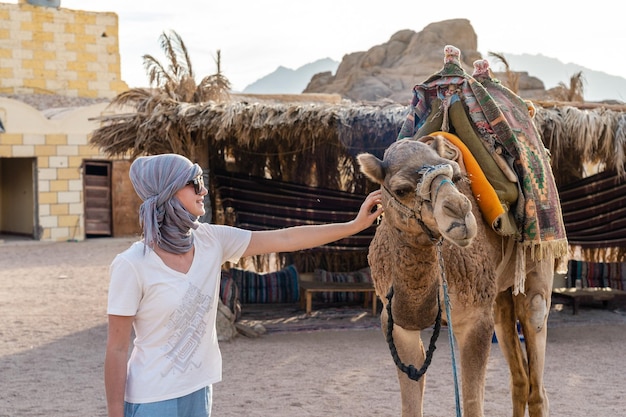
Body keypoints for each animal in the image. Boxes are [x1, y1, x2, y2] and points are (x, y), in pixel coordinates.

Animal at [356, 134, 556, 416]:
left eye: (454, 175)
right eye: (401, 189)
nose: (460, 211)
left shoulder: (475, 320)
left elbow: (472, 404)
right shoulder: (396, 323)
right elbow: (410, 405)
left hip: (538, 258)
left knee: (535, 337)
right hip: (498, 296)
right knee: (518, 375)